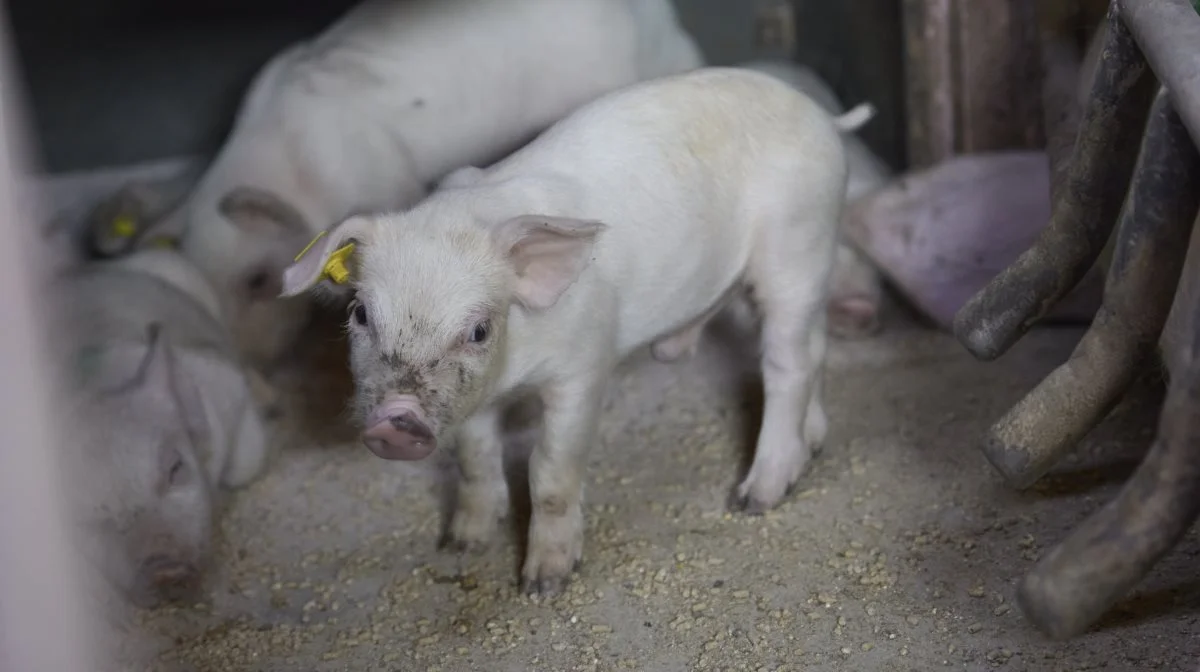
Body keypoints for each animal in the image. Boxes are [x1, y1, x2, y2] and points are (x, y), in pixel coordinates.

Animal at [276, 66, 868, 592]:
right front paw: (462, 543)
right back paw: (808, 440)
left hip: (798, 241)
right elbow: (474, 457)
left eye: (479, 330)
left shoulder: (584, 366)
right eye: (360, 314)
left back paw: (754, 498)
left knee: (788, 362)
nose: (397, 419)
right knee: (809, 347)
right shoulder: (473, 399)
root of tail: (824, 117)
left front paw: (543, 584)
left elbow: (550, 470)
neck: (515, 371)